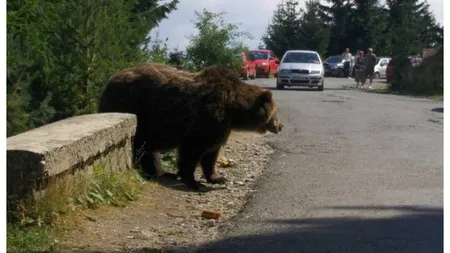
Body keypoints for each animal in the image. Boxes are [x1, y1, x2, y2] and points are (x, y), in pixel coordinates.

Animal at [98, 63, 284, 190]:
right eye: (276, 112)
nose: (280, 125)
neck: (234, 108)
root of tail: (109, 81)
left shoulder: (220, 127)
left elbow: (211, 153)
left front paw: (217, 177)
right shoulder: (207, 117)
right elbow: (192, 150)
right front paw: (194, 182)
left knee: (147, 147)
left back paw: (161, 171)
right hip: (135, 107)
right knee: (140, 144)